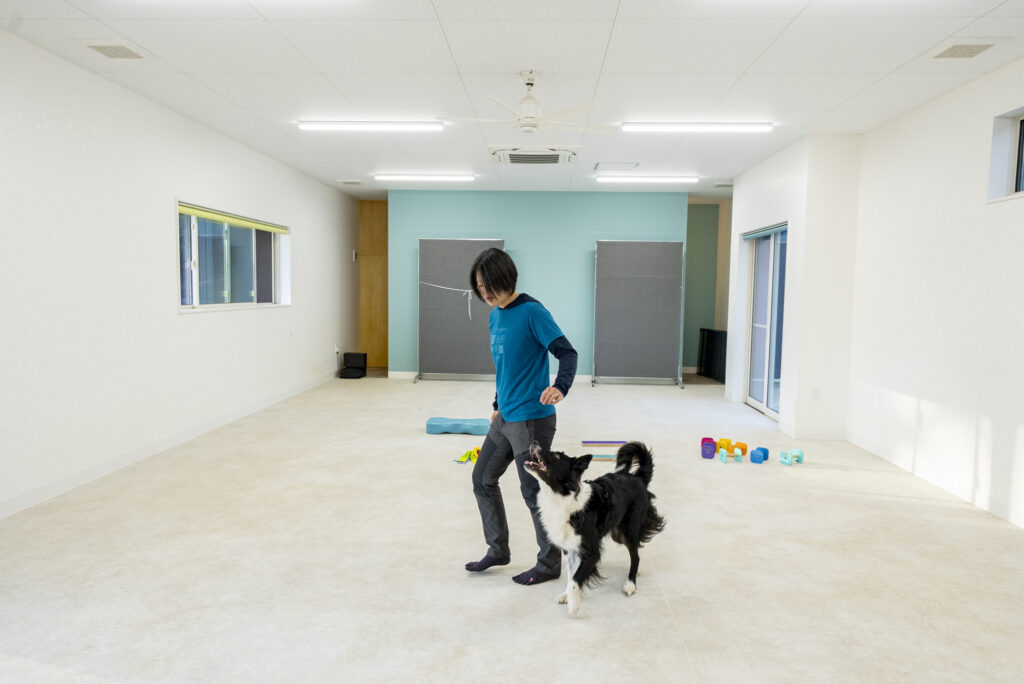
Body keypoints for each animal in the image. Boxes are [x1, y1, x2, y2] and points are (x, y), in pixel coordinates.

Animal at [524, 440, 666, 616]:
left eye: (555, 456)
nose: (534, 442)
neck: (561, 496)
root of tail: (637, 477)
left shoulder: (592, 552)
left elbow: (575, 579)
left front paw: (573, 606)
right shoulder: (570, 548)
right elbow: (571, 575)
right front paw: (567, 596)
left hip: (628, 531)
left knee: (636, 555)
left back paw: (630, 584)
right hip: (618, 532)